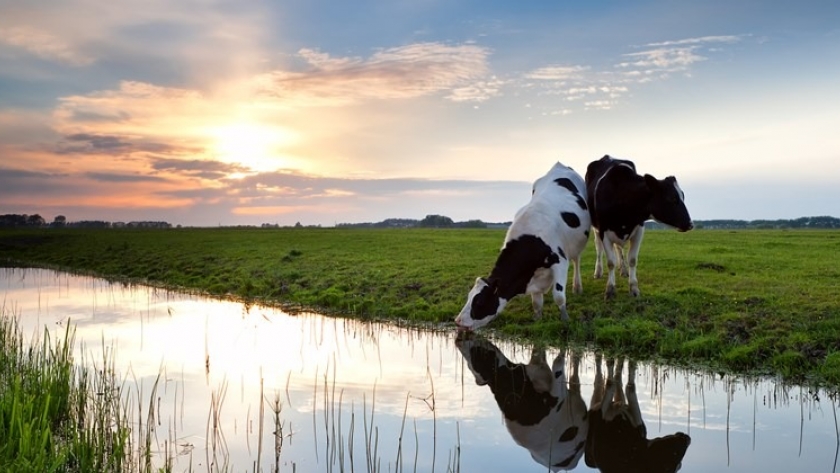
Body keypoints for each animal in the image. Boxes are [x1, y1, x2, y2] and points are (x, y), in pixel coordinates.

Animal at [452, 160, 592, 330]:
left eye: (479, 302)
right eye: (468, 297)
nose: (458, 321)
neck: (531, 238)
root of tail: (559, 165)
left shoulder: (560, 261)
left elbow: (559, 296)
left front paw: (565, 320)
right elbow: (537, 303)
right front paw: (537, 320)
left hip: (576, 244)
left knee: (576, 260)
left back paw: (577, 287)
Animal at [584, 154, 696, 298]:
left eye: (683, 196)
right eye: (671, 198)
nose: (690, 224)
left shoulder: (639, 230)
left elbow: (632, 259)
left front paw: (634, 288)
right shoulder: (604, 230)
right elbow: (610, 262)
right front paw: (610, 289)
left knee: (618, 249)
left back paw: (623, 270)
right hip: (596, 228)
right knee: (599, 248)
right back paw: (598, 272)